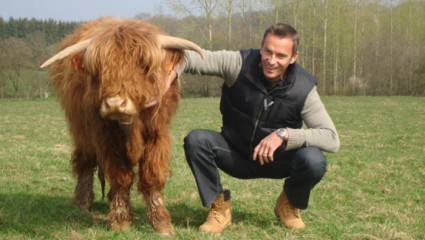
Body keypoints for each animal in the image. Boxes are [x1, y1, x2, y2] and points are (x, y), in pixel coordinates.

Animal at [39, 17, 204, 236]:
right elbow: (120, 177)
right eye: (100, 68)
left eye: (143, 65)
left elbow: (152, 177)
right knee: (86, 161)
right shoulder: (107, 139)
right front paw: (120, 219)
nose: (115, 104)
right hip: (80, 128)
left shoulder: (157, 135)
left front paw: (161, 222)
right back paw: (83, 202)